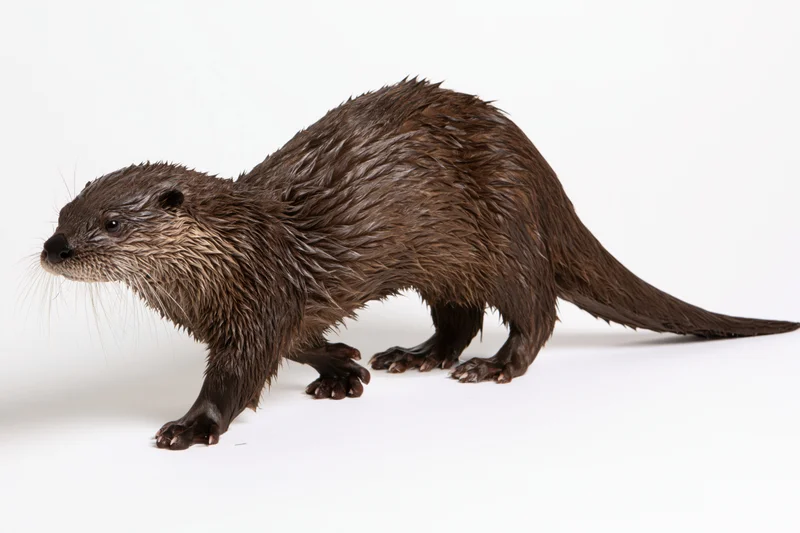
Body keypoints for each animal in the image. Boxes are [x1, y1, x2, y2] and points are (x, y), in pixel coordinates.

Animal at [40, 79, 798, 450]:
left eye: (110, 223)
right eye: (60, 214)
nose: (55, 251)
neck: (229, 259)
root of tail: (535, 163)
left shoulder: (261, 301)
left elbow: (241, 373)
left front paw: (192, 425)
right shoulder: (262, 310)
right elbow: (307, 340)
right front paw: (345, 370)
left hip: (505, 232)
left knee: (534, 309)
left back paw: (492, 366)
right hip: (444, 261)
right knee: (459, 315)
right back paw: (415, 354)